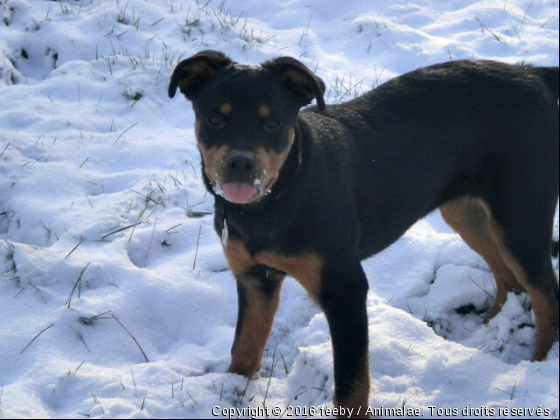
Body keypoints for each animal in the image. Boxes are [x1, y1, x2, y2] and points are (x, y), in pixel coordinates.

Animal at [167, 51, 560, 416]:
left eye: (274, 122)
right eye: (214, 119)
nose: (240, 163)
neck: (275, 200)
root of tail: (534, 74)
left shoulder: (344, 288)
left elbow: (352, 384)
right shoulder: (254, 278)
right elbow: (244, 349)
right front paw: (231, 392)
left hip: (521, 216)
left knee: (545, 294)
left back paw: (540, 363)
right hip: (467, 212)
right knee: (509, 279)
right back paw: (488, 334)